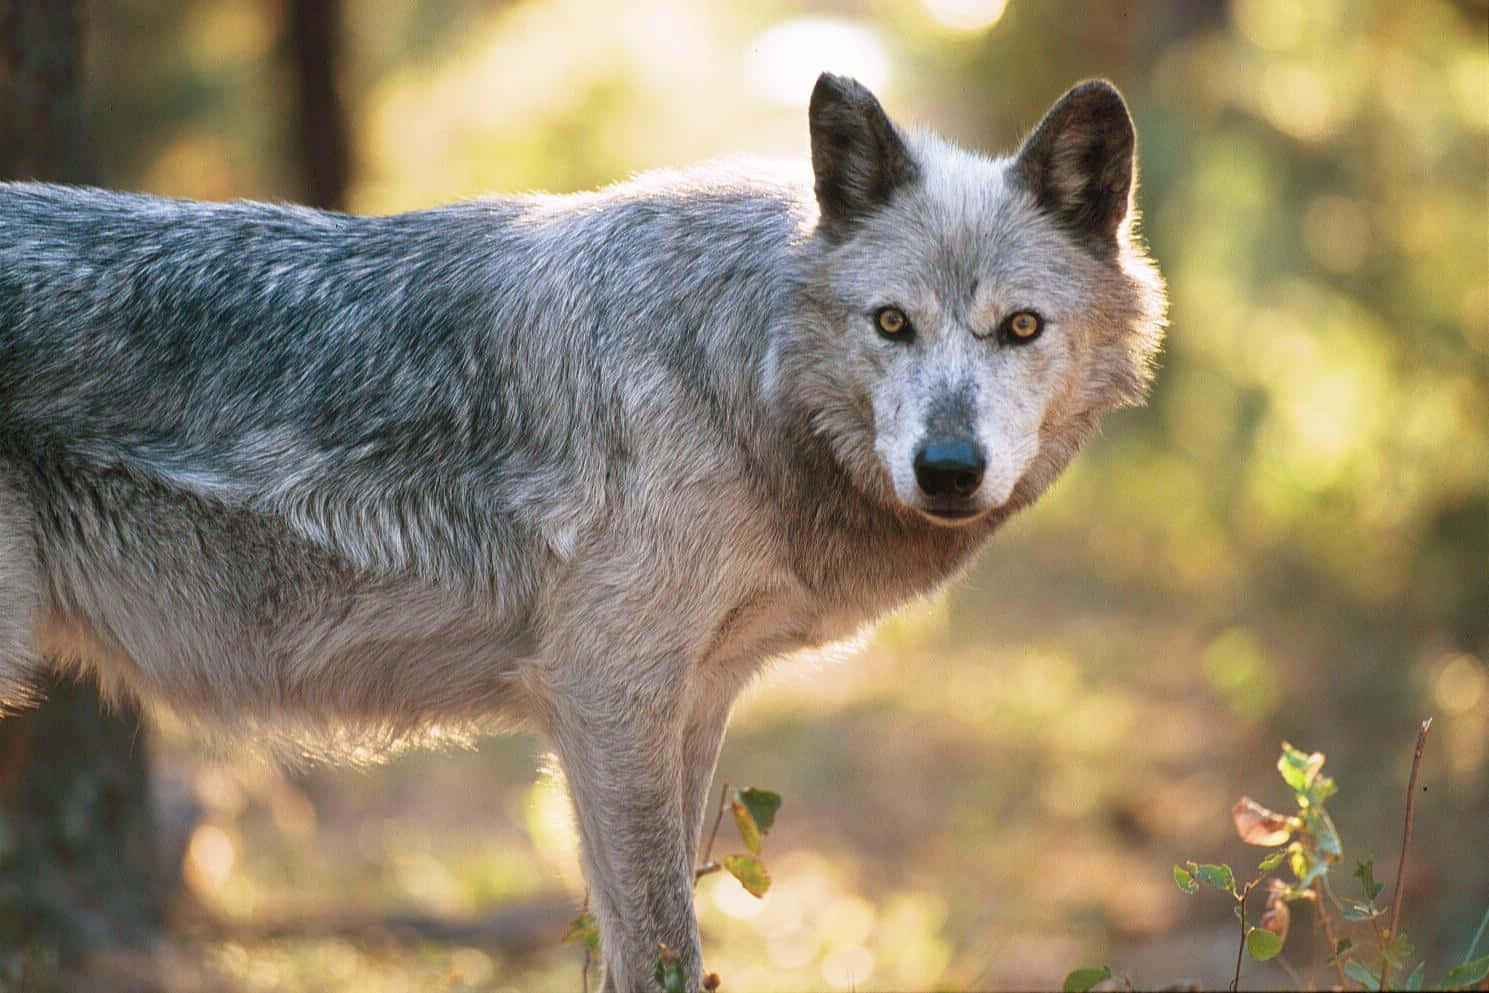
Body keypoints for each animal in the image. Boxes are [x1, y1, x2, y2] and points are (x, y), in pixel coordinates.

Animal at [0, 73, 1161, 988]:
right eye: (891, 323)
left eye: (1019, 328)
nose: (948, 469)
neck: (736, 372)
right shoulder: (608, 699)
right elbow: (663, 952)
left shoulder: (691, 703)